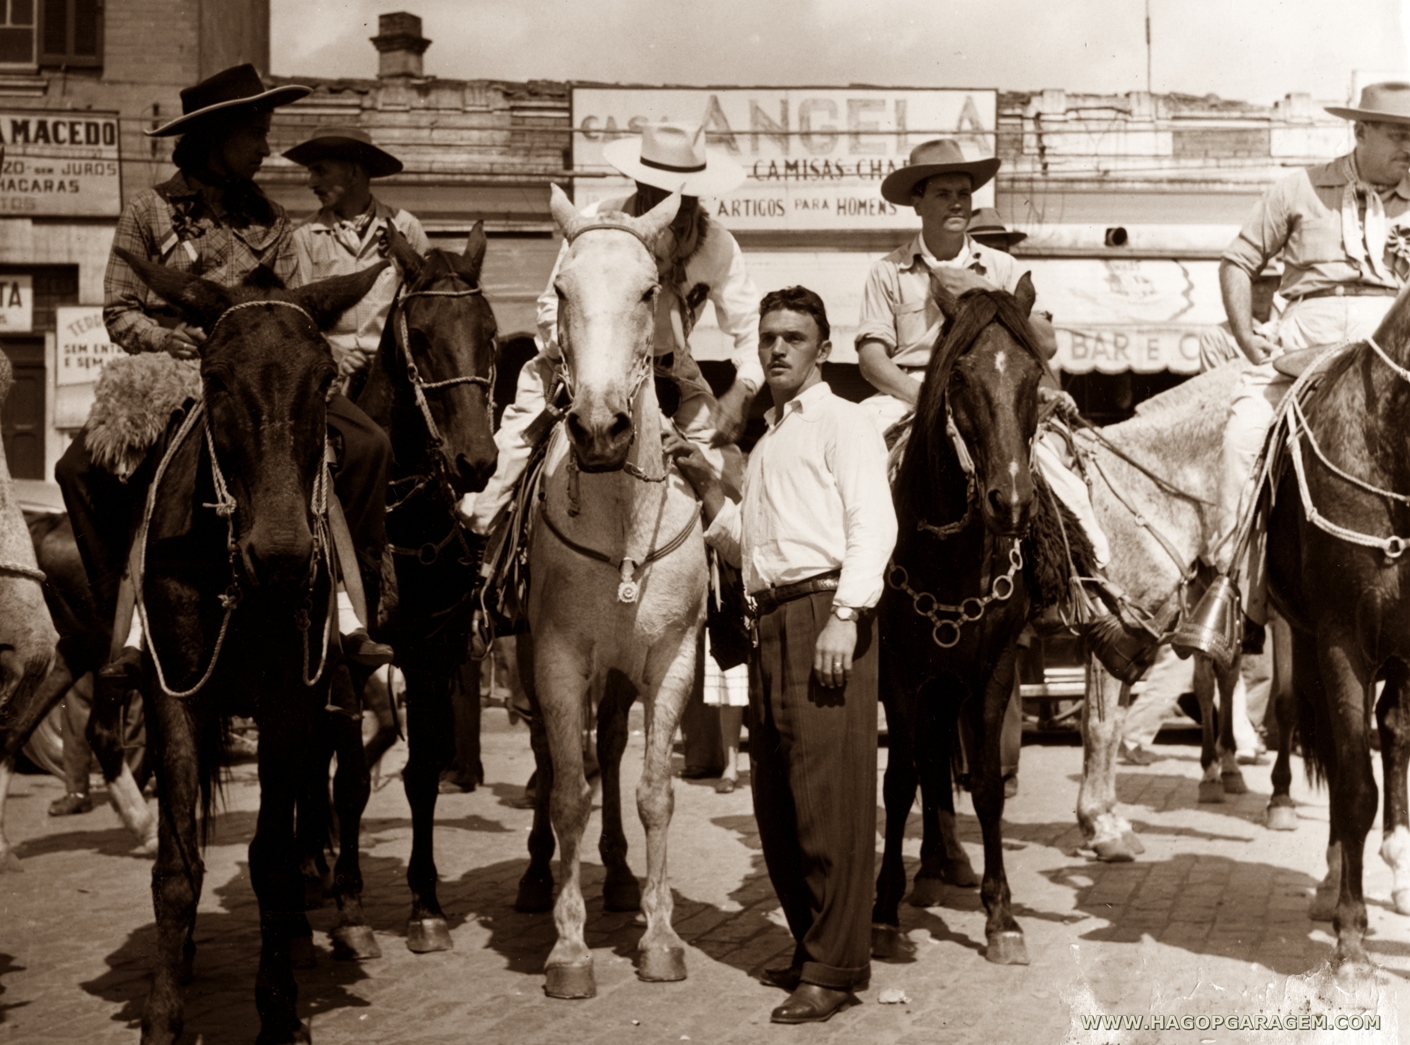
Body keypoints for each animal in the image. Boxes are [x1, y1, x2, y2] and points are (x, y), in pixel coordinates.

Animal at [117, 252, 386, 1043]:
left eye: (323, 378)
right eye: (211, 377)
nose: (284, 554)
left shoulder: (290, 697)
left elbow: (268, 854)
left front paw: (280, 1010)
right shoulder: (173, 693)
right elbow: (177, 862)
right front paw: (162, 1013)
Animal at [874, 275, 1054, 964]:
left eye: (1033, 373)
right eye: (960, 375)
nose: (1012, 503)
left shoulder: (993, 668)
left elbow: (986, 786)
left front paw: (1000, 916)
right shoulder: (897, 669)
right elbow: (899, 779)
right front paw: (883, 912)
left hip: (949, 681)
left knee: (938, 761)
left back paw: (941, 864)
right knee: (923, 763)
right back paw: (926, 871)